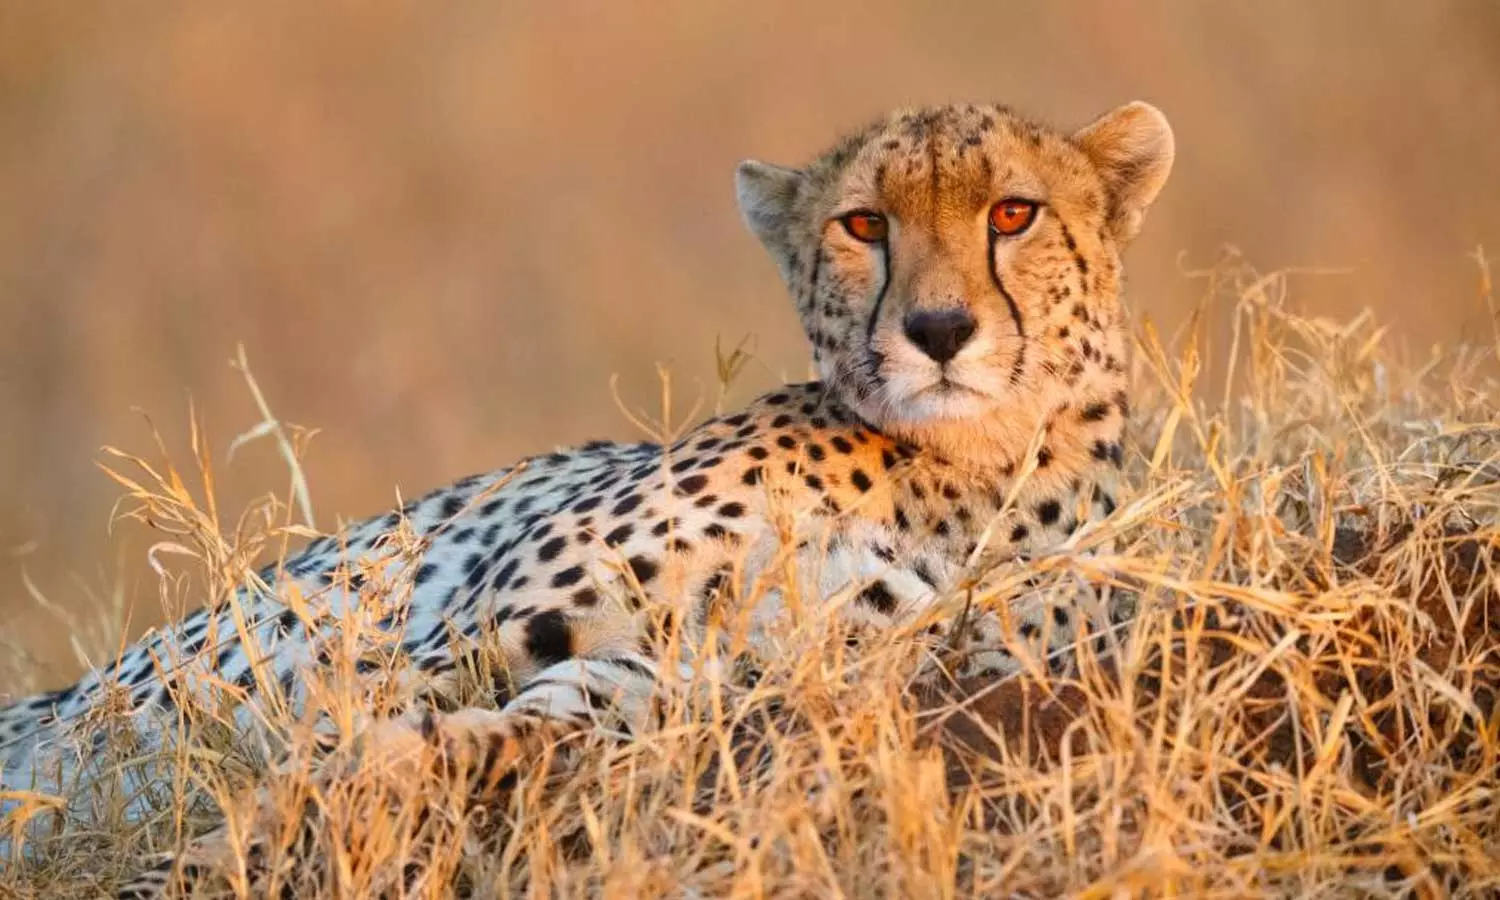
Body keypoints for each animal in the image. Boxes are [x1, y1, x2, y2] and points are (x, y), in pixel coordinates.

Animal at [0, 98, 1174, 897]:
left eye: (1013, 214)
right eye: (864, 226)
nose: (938, 331)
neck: (954, 472)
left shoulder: (684, 681)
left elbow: (443, 747)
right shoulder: (472, 637)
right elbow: (334, 733)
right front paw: (210, 853)